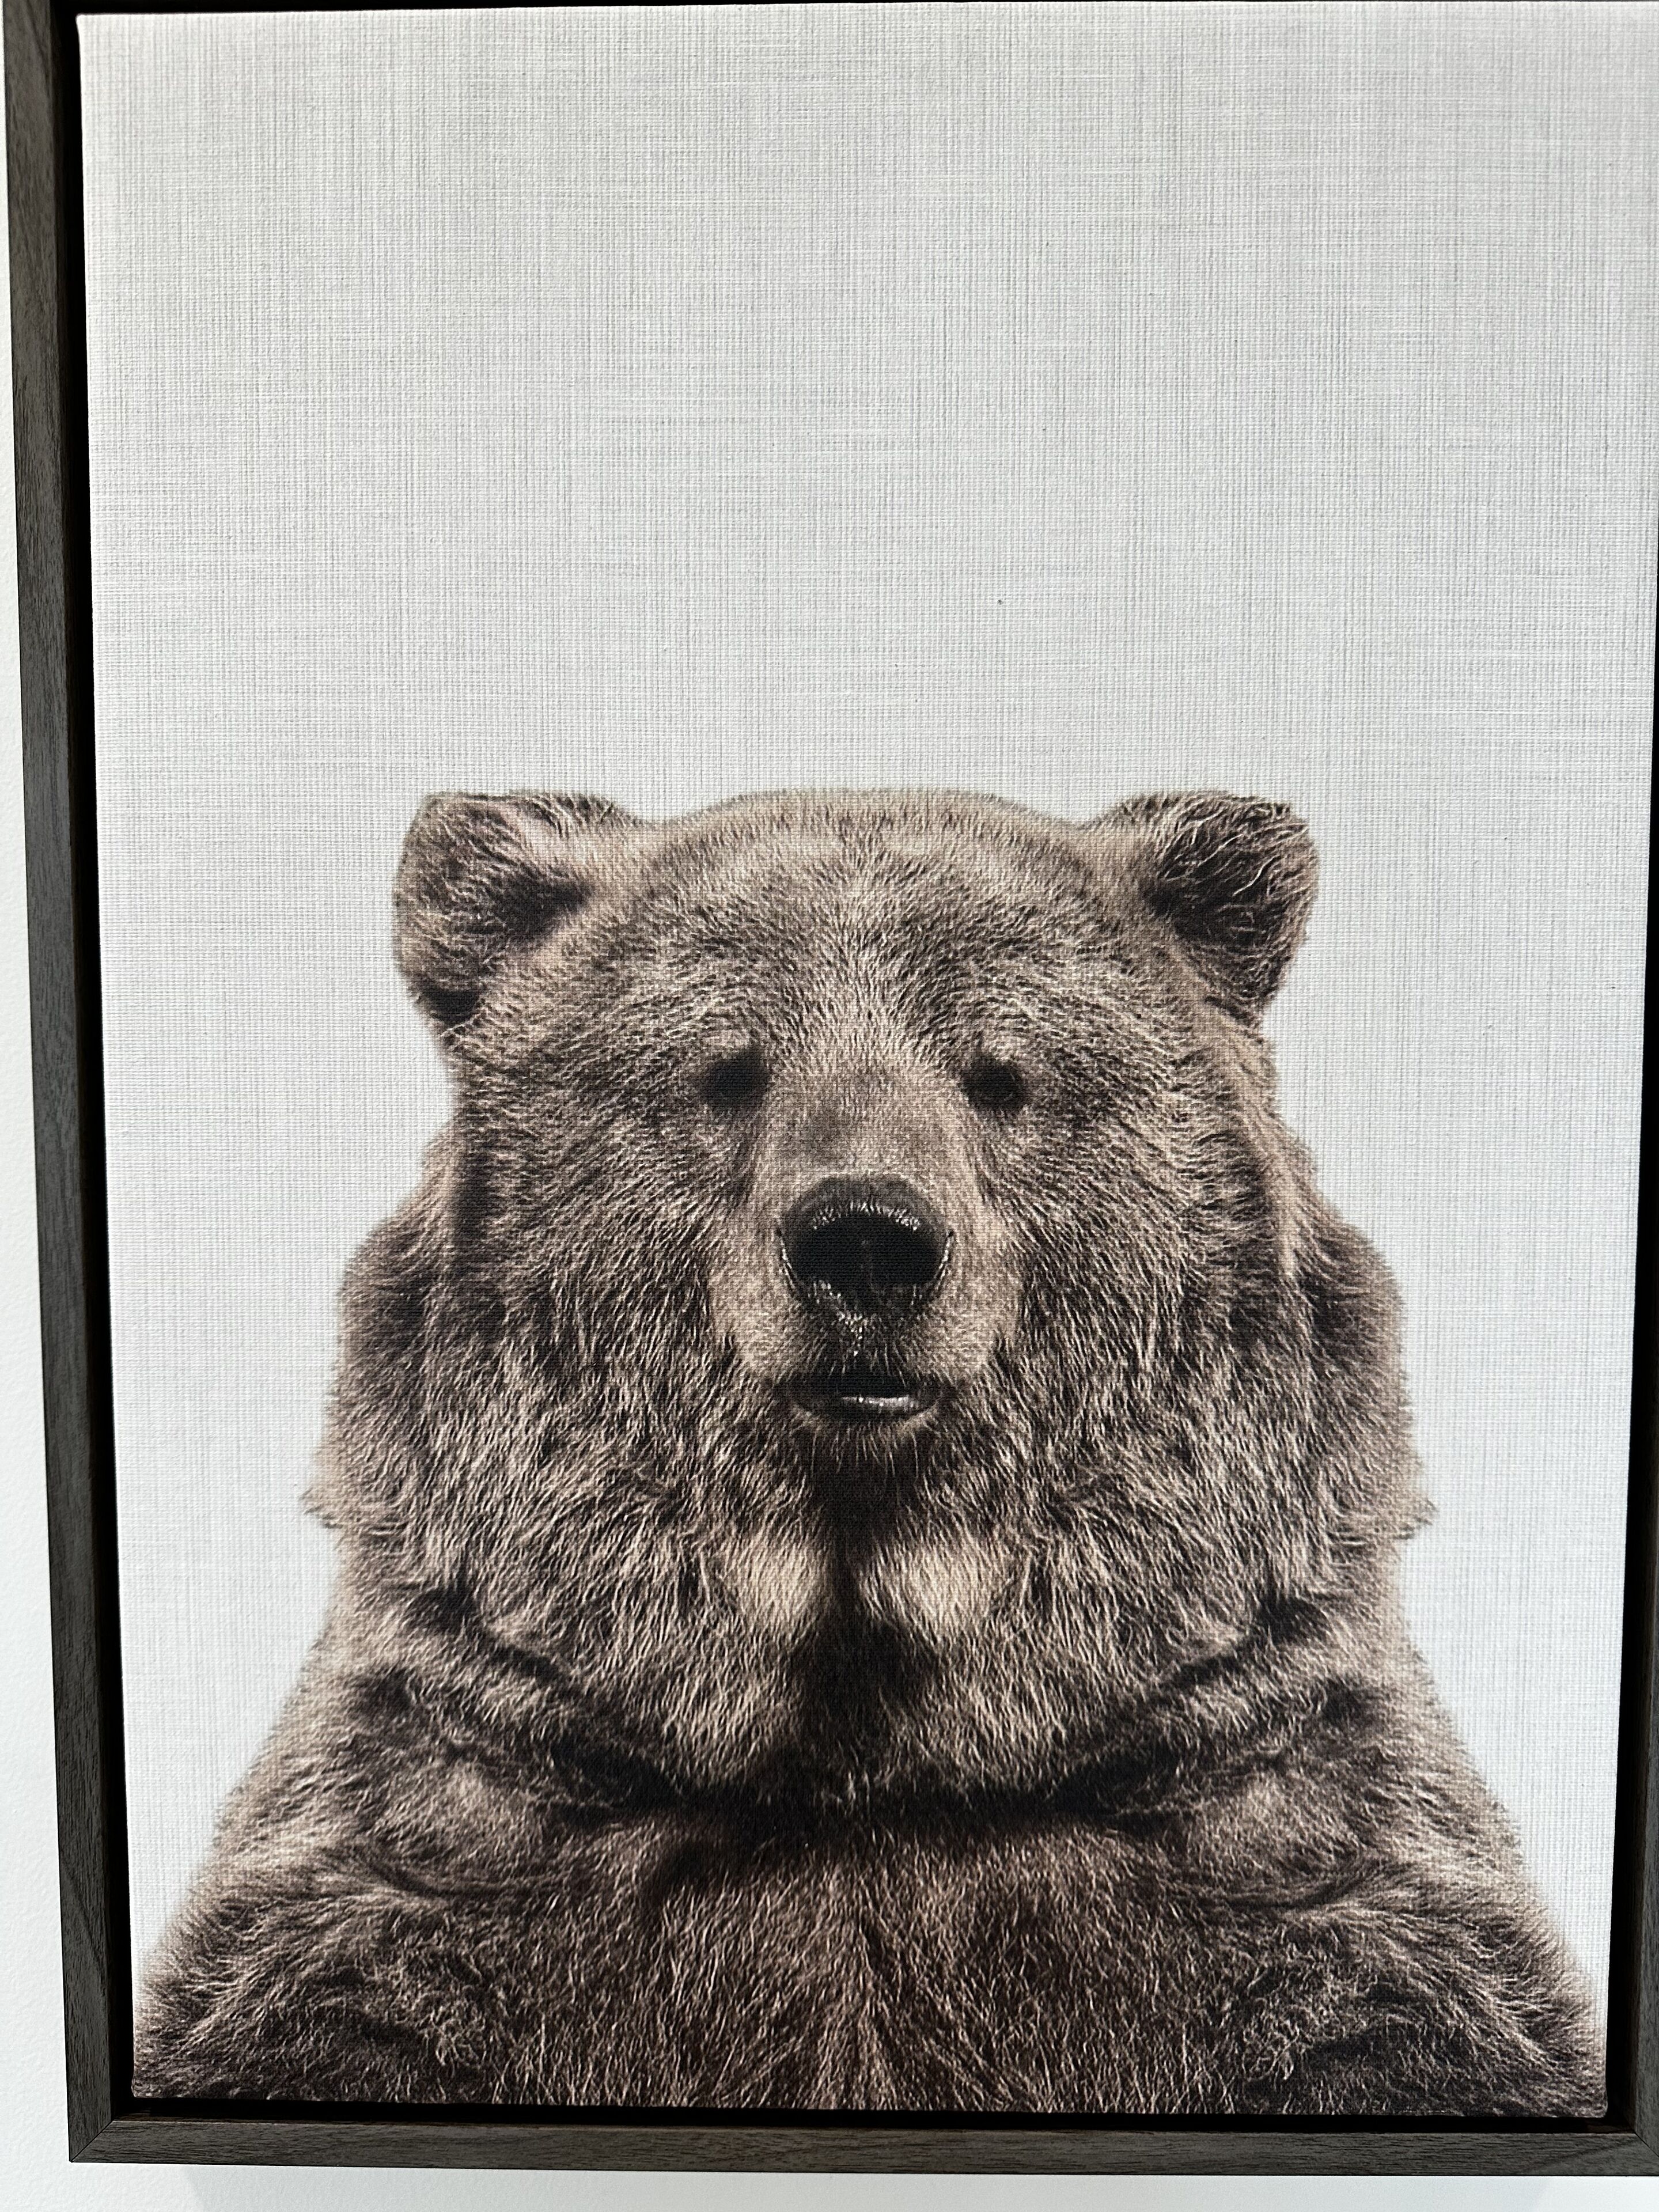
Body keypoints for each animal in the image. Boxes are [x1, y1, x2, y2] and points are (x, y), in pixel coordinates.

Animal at [132, 785, 1602, 2116]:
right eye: (727, 1069)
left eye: (999, 1073)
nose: (867, 1241)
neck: (862, 1748)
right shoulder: (453, 1823)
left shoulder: (1272, 1824)